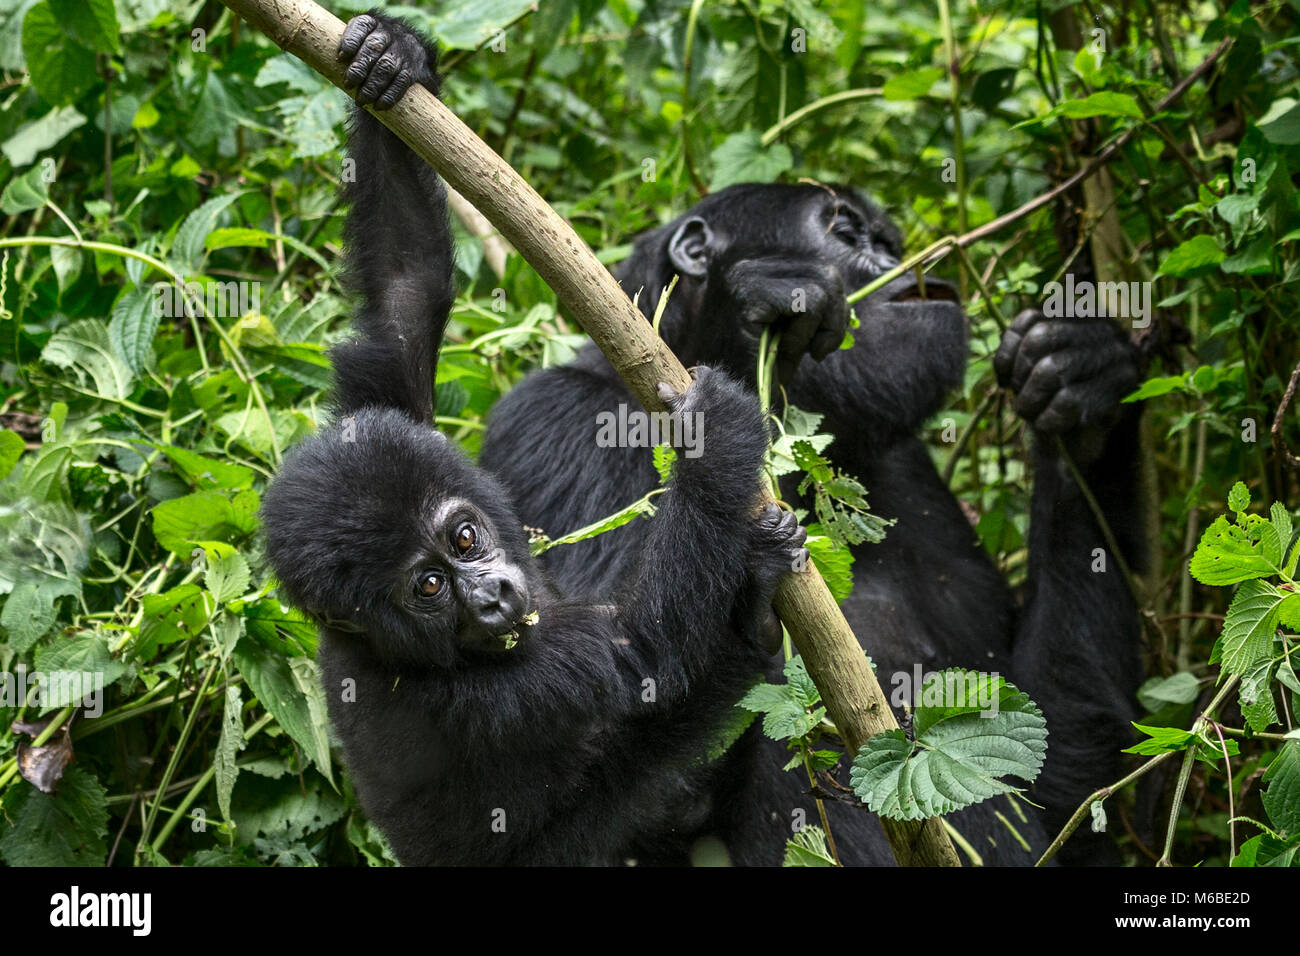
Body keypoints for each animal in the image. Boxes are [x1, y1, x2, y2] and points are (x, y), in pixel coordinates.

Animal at [257, 11, 800, 868]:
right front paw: (712, 445)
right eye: (428, 587)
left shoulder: (380, 422)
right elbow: (642, 652)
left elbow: (406, 294)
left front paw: (391, 56)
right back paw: (750, 621)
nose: (494, 595)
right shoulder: (479, 695)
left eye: (465, 537)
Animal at [480, 183, 1149, 863]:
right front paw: (750, 308)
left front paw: (1082, 383)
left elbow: (1055, 770)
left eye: (888, 241)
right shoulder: (555, 424)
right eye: (846, 232)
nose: (900, 263)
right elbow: (594, 759)